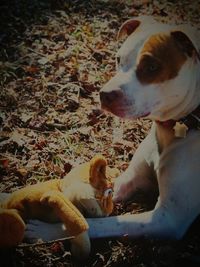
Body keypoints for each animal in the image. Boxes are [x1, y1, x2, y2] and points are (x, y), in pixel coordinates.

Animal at [25, 15, 200, 243]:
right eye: (118, 59)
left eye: (152, 67)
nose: (105, 94)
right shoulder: (130, 179)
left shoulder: (167, 218)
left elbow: (98, 224)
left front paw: (50, 229)